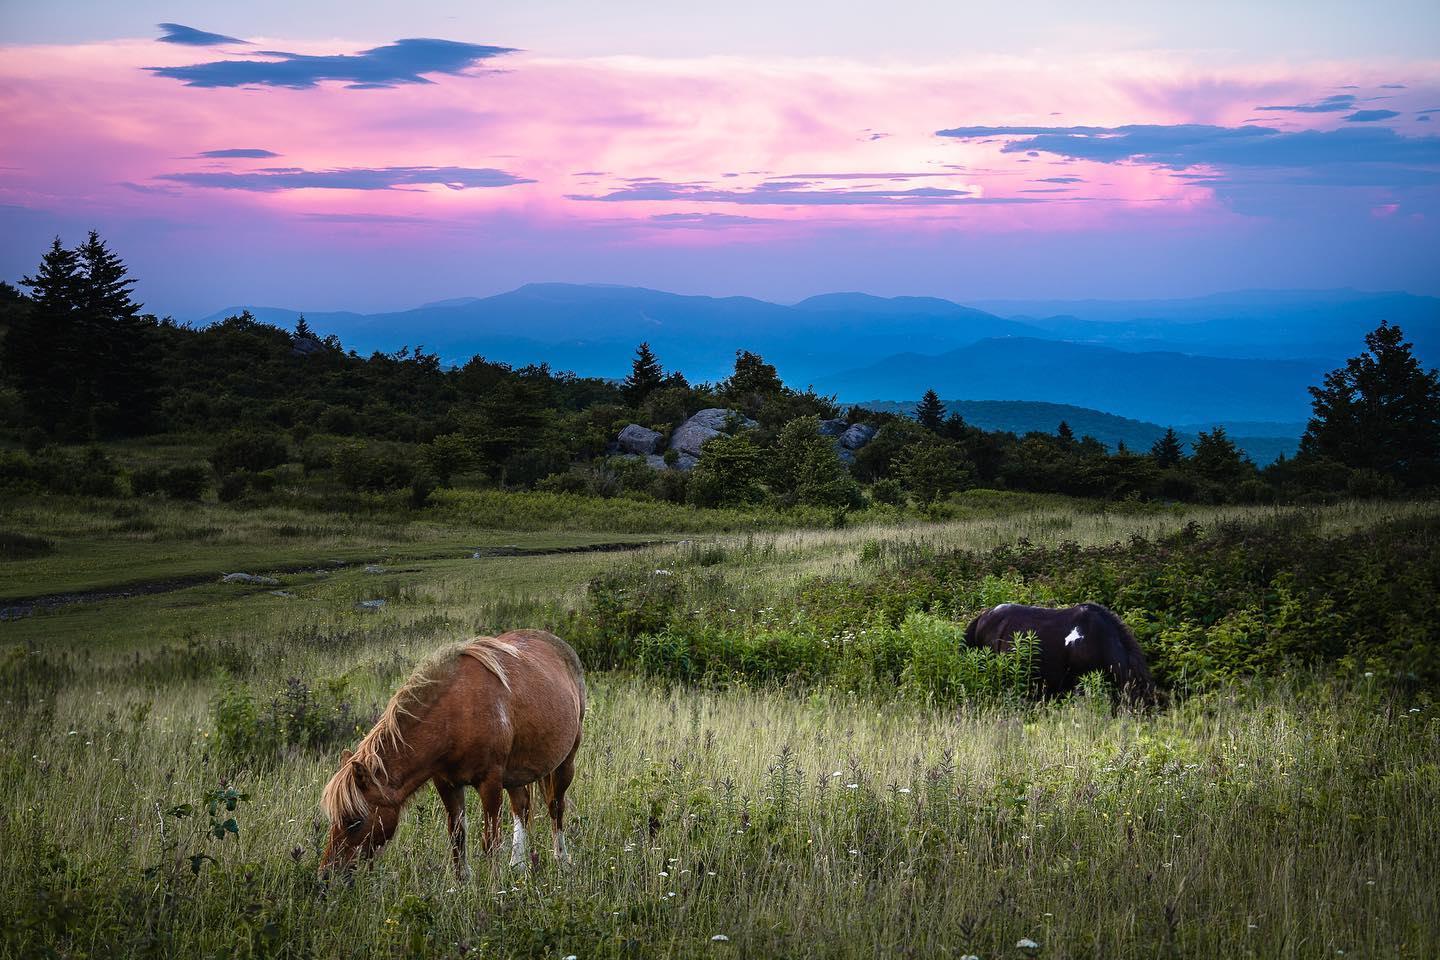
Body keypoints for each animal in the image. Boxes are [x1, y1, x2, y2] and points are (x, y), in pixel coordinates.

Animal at [319, 629, 586, 879]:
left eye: (354, 821)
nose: (326, 874)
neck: (456, 717)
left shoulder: (490, 783)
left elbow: (490, 841)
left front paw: (494, 887)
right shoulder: (447, 784)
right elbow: (457, 837)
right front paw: (462, 883)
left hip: (565, 763)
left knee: (556, 808)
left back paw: (562, 860)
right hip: (516, 774)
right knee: (521, 807)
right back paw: (517, 865)